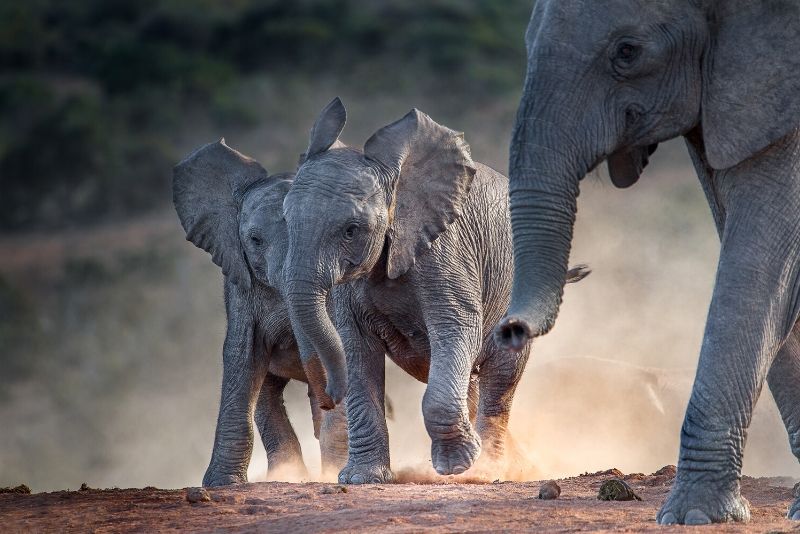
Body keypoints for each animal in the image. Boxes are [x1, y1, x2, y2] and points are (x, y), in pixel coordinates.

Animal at [172, 139, 348, 486]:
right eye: (254, 240)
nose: (329, 396)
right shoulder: (239, 283)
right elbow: (242, 356)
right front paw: (221, 484)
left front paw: (336, 471)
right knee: (266, 394)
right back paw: (288, 473)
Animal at [281, 98, 589, 483]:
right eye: (285, 221)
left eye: (351, 230)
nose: (327, 397)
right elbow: (357, 350)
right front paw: (361, 479)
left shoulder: (446, 251)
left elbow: (455, 328)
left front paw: (456, 467)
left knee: (499, 380)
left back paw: (488, 470)